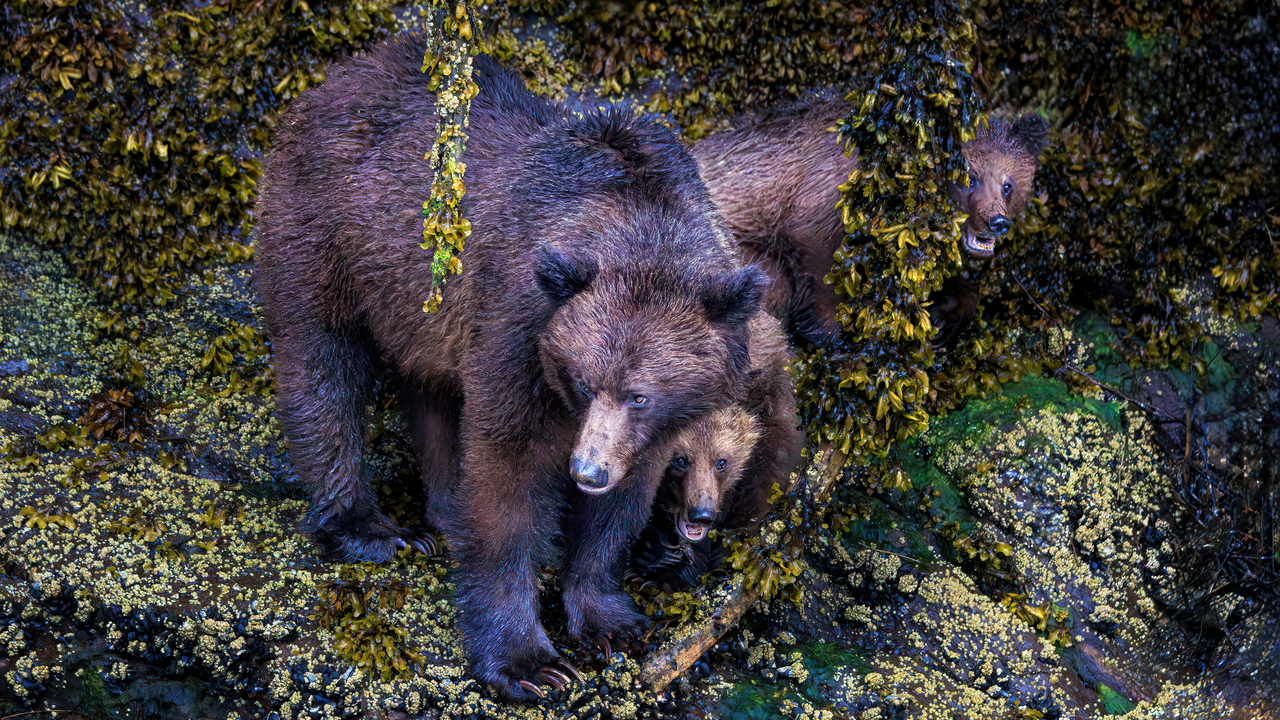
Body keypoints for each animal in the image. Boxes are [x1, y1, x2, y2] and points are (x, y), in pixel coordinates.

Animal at [253, 35, 768, 701]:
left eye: (640, 395)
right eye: (583, 382)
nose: (587, 470)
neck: (638, 220)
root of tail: (333, 79)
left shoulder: (652, 424)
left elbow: (623, 504)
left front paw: (611, 619)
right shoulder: (519, 322)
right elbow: (506, 472)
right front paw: (529, 662)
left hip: (419, 310)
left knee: (433, 394)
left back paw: (445, 514)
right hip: (328, 232)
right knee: (323, 368)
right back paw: (371, 527)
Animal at [689, 101, 1049, 346]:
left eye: (1008, 184)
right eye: (969, 179)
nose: (996, 221)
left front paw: (945, 314)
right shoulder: (815, 203)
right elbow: (817, 269)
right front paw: (830, 332)